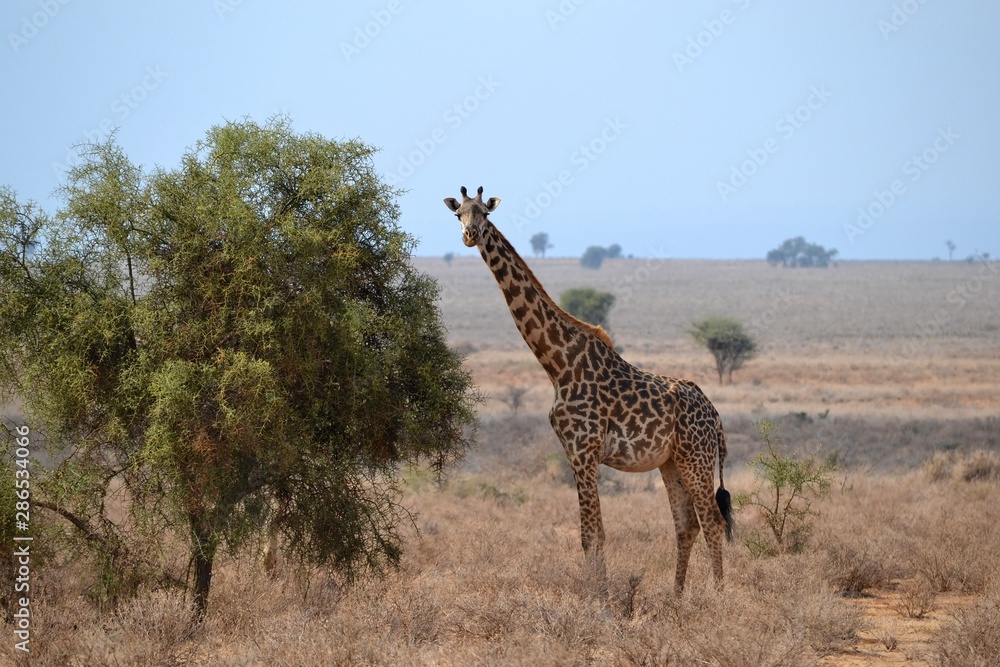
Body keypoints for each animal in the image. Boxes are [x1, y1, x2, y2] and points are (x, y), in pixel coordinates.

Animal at [443, 186, 734, 594]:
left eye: (485, 213)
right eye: (459, 215)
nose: (470, 236)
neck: (557, 365)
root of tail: (715, 415)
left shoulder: (584, 450)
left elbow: (592, 535)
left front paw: (599, 599)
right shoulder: (573, 452)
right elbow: (590, 534)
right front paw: (599, 595)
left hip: (697, 458)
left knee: (712, 521)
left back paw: (717, 596)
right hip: (672, 461)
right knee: (687, 525)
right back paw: (677, 598)